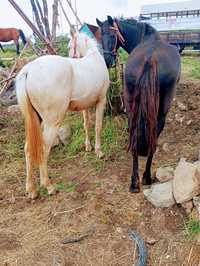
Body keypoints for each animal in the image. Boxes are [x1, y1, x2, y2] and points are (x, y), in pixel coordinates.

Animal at [15, 32, 109, 198]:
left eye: (71, 46)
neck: (93, 57)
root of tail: (29, 69)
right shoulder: (101, 101)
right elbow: (98, 126)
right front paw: (99, 152)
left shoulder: (85, 106)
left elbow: (86, 125)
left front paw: (88, 147)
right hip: (52, 123)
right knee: (44, 148)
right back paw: (49, 186)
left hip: (37, 120)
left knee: (28, 148)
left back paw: (31, 189)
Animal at [97, 15, 181, 192]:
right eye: (101, 36)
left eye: (113, 35)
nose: (107, 61)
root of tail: (150, 58)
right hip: (161, 112)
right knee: (153, 139)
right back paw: (146, 177)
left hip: (131, 107)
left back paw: (134, 182)